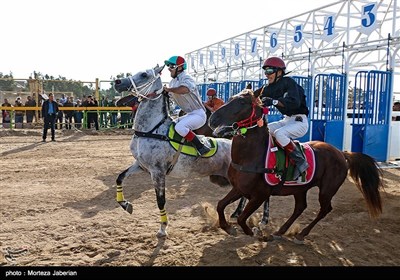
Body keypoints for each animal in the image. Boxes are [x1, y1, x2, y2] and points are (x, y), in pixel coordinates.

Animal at [112, 65, 231, 238]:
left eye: (144, 74)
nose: (118, 82)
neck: (150, 129)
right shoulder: (141, 165)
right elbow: (120, 178)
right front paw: (125, 204)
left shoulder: (158, 171)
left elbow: (160, 201)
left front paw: (163, 228)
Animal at [209, 89, 384, 243]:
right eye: (231, 98)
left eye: (242, 102)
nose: (212, 118)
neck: (251, 156)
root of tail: (341, 153)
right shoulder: (239, 188)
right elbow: (220, 205)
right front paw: (227, 227)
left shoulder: (260, 195)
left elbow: (241, 218)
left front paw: (252, 232)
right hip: (300, 188)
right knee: (300, 207)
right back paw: (280, 231)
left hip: (327, 190)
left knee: (325, 209)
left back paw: (301, 234)